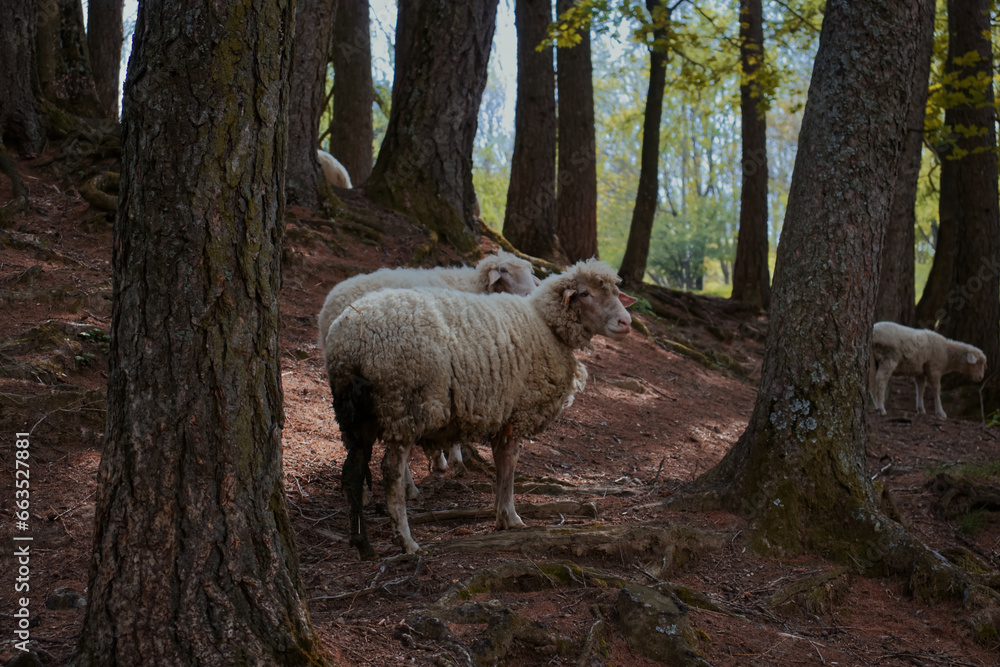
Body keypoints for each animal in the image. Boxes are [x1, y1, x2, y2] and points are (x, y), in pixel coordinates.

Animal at [324, 258, 637, 558]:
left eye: (615, 292)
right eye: (585, 293)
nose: (626, 322)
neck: (544, 324)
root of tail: (350, 342)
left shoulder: (504, 412)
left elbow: (500, 462)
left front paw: (499, 513)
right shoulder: (518, 412)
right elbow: (509, 463)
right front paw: (510, 517)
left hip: (357, 415)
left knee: (353, 470)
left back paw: (362, 544)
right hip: (403, 405)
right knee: (391, 472)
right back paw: (407, 541)